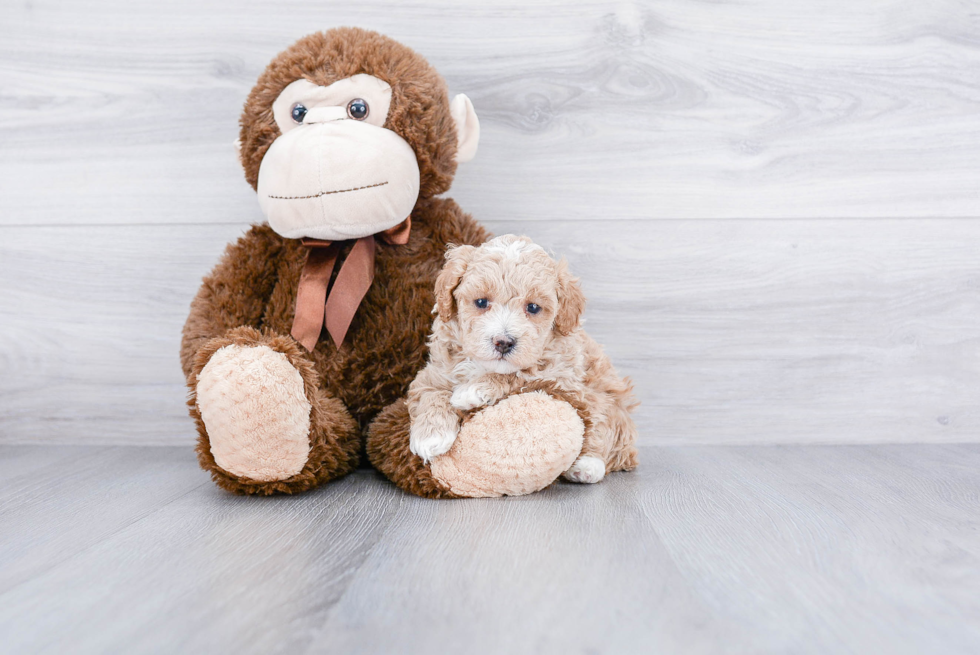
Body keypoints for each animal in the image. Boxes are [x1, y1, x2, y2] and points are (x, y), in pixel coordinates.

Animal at [404, 234, 636, 482]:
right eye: (481, 302)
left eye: (533, 307)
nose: (503, 342)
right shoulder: (433, 372)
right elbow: (431, 393)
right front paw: (430, 436)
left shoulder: (562, 377)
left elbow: (520, 375)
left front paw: (472, 391)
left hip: (608, 399)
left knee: (607, 429)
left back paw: (588, 465)